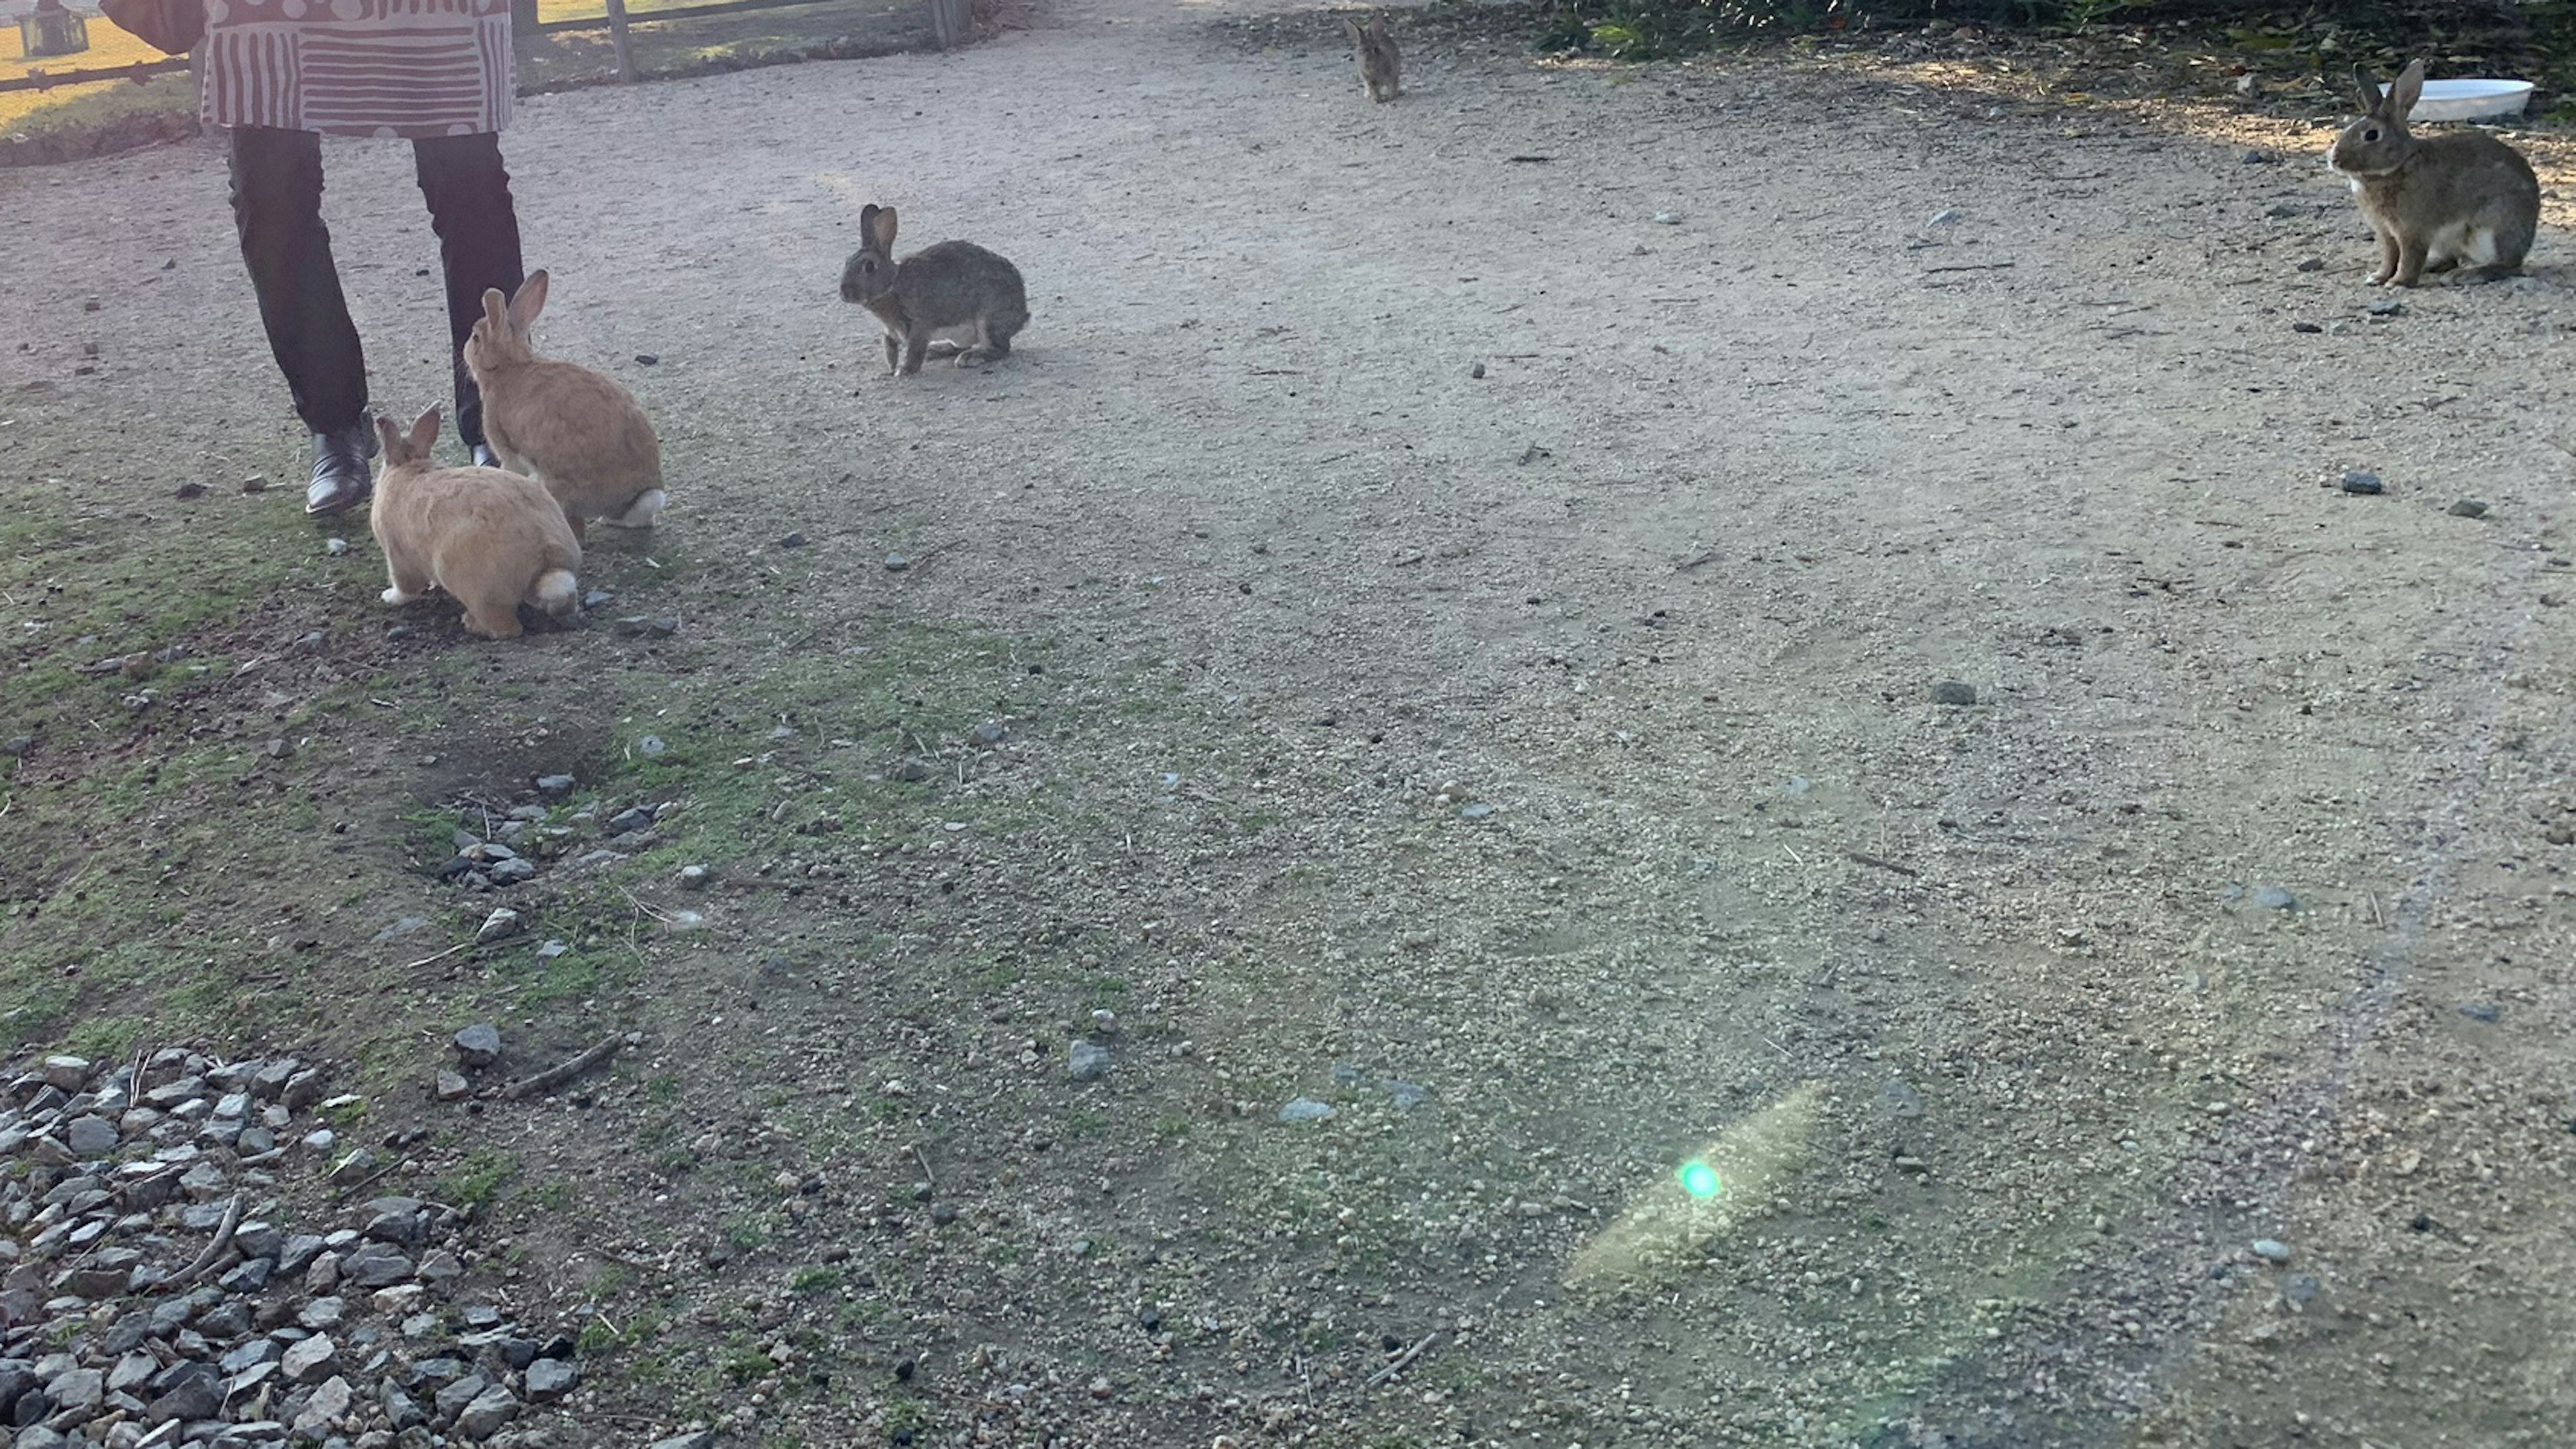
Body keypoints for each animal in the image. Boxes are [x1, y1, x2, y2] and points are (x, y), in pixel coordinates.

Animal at [368, 402, 584, 634]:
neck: (409, 466)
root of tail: (547, 556)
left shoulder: (397, 556)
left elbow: (405, 586)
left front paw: (390, 597)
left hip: (475, 589)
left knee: (507, 627)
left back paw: (472, 624)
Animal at [839, 207, 1030, 378]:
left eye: (869, 267)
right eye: (847, 262)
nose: (844, 293)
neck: (893, 284)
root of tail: (1023, 315)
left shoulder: (920, 325)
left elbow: (914, 352)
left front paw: (904, 371)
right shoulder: (889, 332)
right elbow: (890, 351)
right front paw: (889, 371)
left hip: (988, 319)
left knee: (1000, 347)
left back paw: (970, 358)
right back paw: (937, 349)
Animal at [1350, 15, 1411, 103]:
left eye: (1375, 49)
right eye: (1360, 51)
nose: (1367, 64)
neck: (1373, 71)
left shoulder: (1392, 75)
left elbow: (1392, 87)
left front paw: (1391, 98)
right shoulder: (1370, 81)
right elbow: (1374, 90)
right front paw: (1375, 100)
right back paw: (1368, 95)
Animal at [2328, 58, 2544, 284]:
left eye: (2371, 135)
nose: (2334, 160)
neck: (2397, 166)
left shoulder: (2412, 231)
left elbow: (2409, 257)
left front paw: (2399, 282)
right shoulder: (2386, 233)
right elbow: (2390, 256)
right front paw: (2378, 277)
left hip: (2493, 229)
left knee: (2509, 265)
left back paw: (2466, 275)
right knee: (2452, 260)